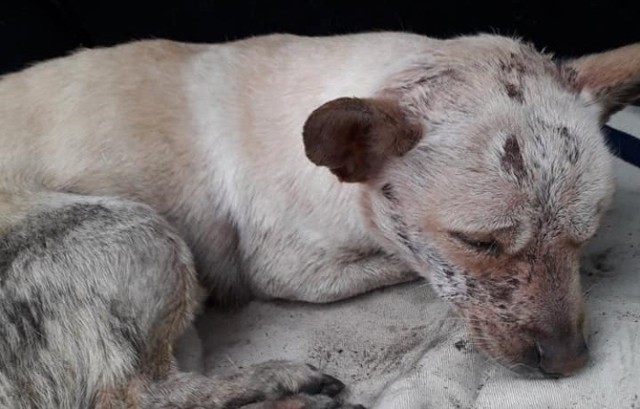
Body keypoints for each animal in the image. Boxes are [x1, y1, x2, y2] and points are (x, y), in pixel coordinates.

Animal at [0, 32, 636, 408]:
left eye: (586, 235)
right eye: (476, 242)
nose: (571, 362)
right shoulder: (294, 272)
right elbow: (406, 268)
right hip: (143, 232)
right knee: (131, 393)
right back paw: (278, 382)